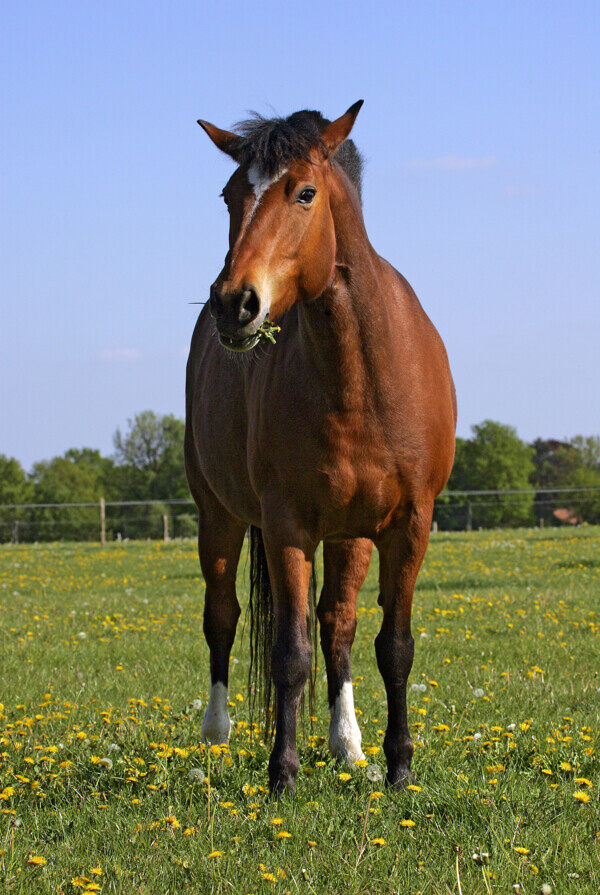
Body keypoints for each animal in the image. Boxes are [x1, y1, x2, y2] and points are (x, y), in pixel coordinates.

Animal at [184, 101, 454, 796]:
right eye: (231, 194)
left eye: (304, 192)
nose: (234, 303)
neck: (360, 374)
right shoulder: (287, 527)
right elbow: (289, 651)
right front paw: (282, 773)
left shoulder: (410, 525)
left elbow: (393, 645)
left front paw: (399, 765)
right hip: (217, 516)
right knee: (222, 616)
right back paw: (218, 735)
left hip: (351, 533)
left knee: (339, 625)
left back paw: (348, 744)